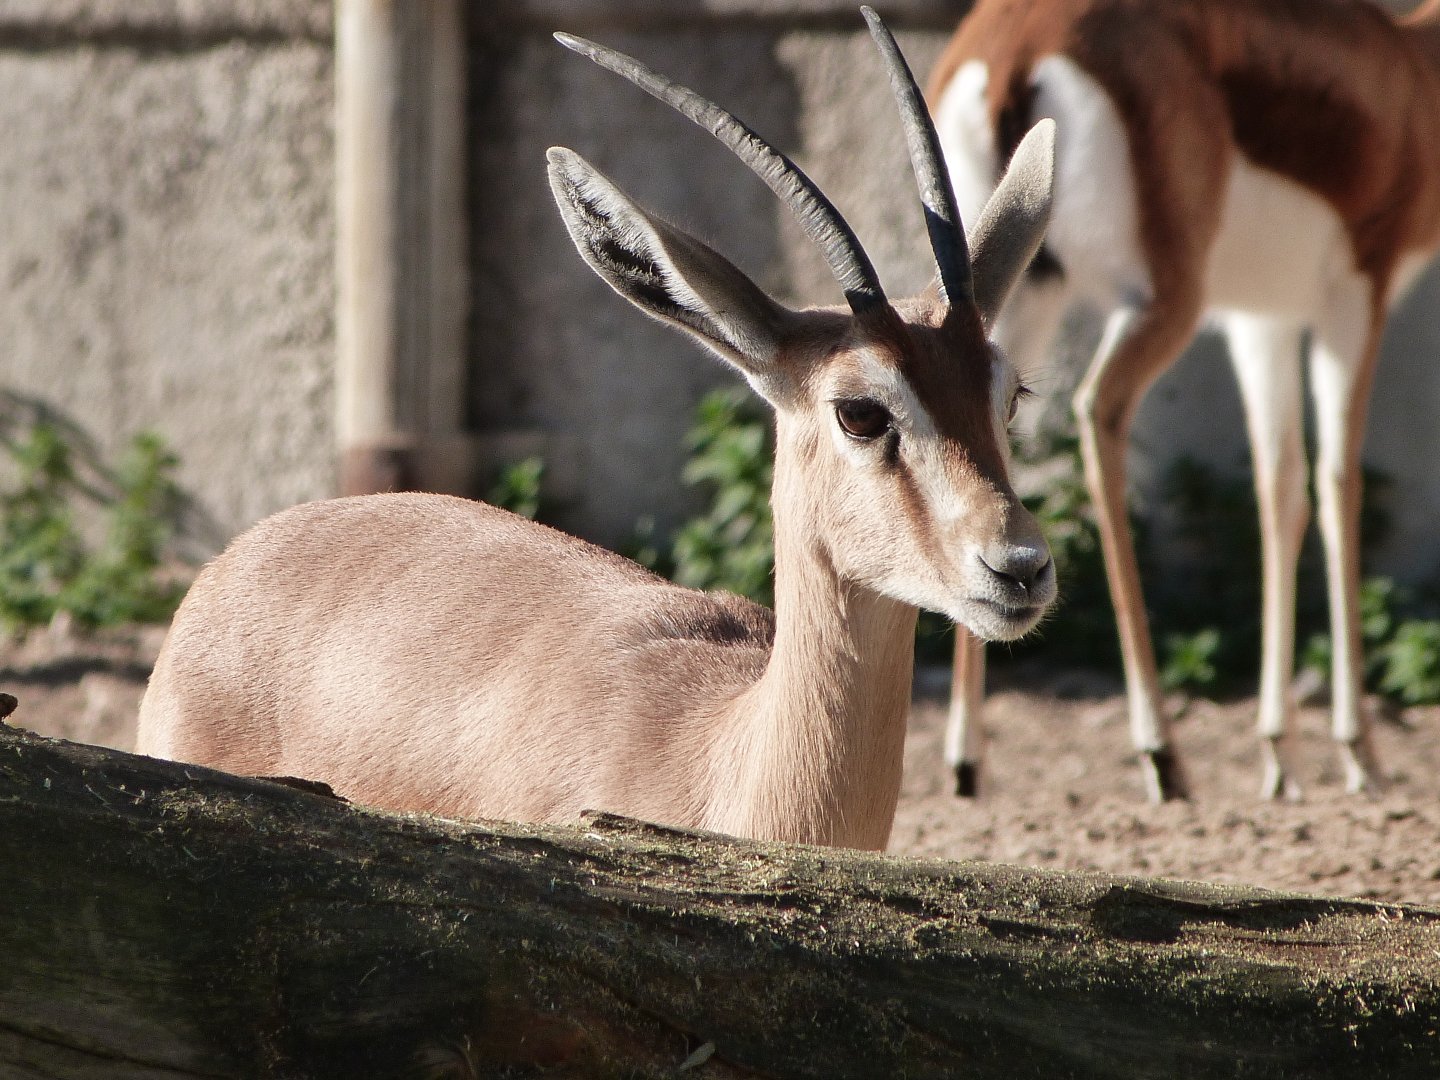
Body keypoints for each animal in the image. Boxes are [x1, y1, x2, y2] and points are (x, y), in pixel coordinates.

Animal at [930, 0, 1440, 802]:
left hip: (1016, 287)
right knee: (1098, 412)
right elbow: (1338, 488)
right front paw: (1359, 751)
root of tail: (1013, 49)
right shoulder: (1358, 294)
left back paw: (966, 763)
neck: (1413, 73)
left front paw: (1278, 754)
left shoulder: (1264, 320)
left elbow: (1279, 492)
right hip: (1162, 301)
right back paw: (1162, 752)